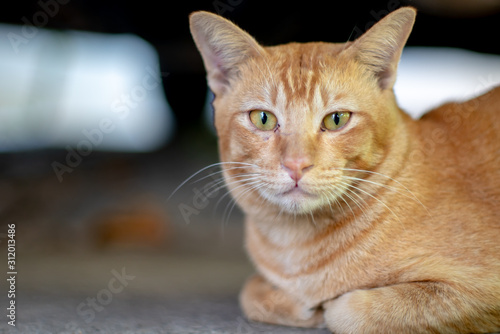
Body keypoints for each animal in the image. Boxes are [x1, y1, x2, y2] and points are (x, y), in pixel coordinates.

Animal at [188, 6, 500, 332]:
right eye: (263, 118)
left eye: (336, 119)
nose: (296, 164)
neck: (296, 246)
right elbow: (250, 293)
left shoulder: (479, 293)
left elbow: (347, 311)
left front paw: (323, 307)